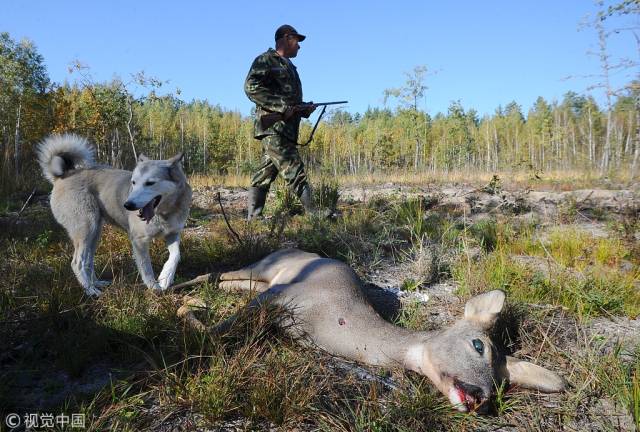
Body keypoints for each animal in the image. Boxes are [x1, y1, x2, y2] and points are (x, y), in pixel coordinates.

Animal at [37, 134, 191, 296]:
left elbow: (175, 255)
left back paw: (96, 283)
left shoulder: (173, 234)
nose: (127, 205)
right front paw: (153, 286)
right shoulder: (139, 241)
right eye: (133, 182)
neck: (165, 212)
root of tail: (63, 176)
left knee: (88, 261)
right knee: (77, 263)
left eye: (150, 183)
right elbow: (146, 267)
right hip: (86, 229)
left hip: (95, 233)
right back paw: (91, 290)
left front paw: (166, 277)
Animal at [179, 246, 564, 412]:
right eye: (478, 345)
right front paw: (188, 314)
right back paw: (174, 289)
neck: (332, 318)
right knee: (214, 273)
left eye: (502, 382)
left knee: (223, 281)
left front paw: (191, 310)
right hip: (266, 269)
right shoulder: (282, 293)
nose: (482, 396)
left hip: (257, 281)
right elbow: (215, 332)